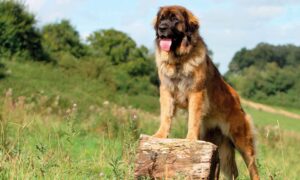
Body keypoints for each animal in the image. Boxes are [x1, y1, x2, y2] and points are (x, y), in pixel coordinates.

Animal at [152, 4, 260, 179]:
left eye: (175, 19)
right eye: (162, 18)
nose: (161, 28)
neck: (179, 60)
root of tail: (237, 100)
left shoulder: (196, 92)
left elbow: (193, 119)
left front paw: (190, 139)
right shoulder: (167, 91)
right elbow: (166, 116)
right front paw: (160, 136)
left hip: (242, 141)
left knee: (253, 167)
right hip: (218, 145)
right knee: (232, 171)